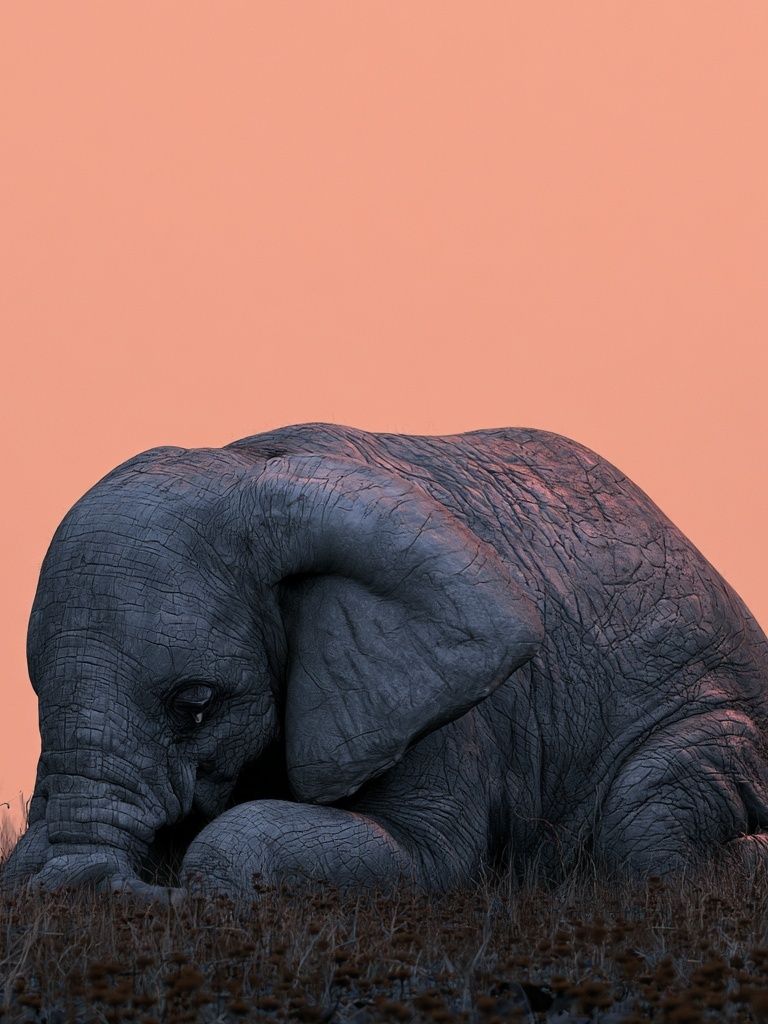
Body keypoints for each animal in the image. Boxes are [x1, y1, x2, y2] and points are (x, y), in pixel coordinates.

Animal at [2, 421, 767, 903]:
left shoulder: (445, 708)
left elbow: (426, 853)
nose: (83, 894)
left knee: (644, 838)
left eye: (196, 703)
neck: (248, 464)